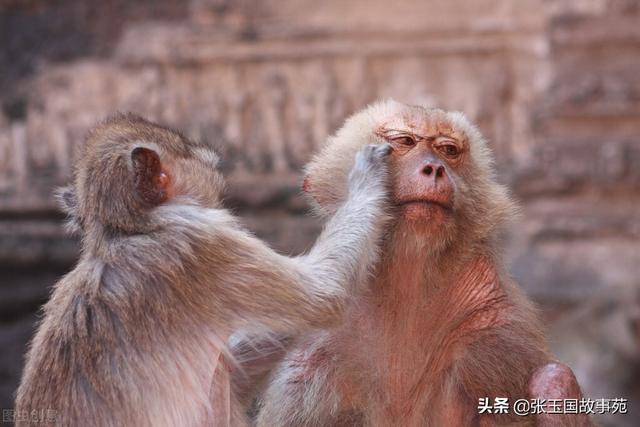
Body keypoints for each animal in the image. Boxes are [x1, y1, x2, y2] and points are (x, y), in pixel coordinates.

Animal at [252, 101, 592, 427]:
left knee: (554, 381)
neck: (408, 276)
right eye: (405, 141)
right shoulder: (312, 360)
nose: (434, 168)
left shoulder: (492, 326)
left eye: (448, 150)